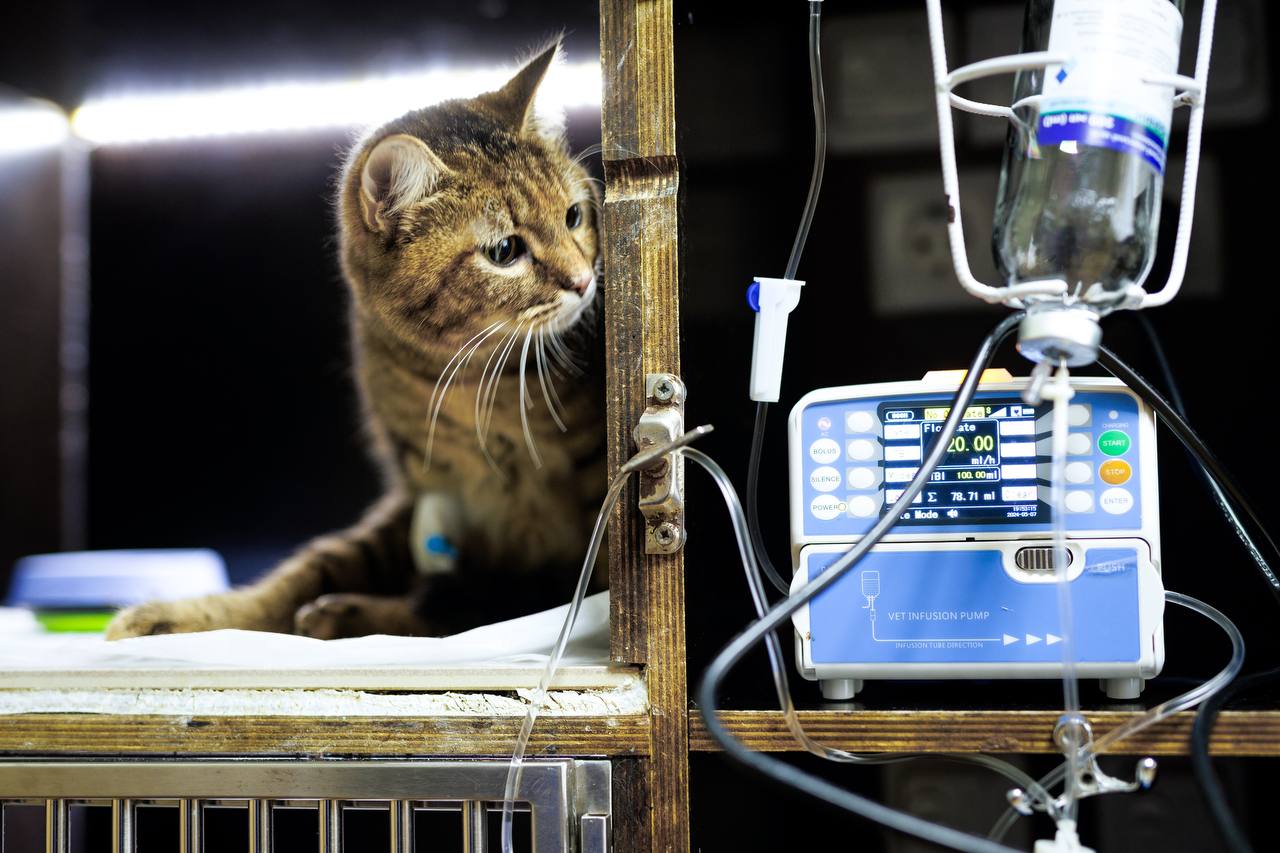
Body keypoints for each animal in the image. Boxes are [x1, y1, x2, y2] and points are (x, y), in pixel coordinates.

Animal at [105, 42, 606, 640]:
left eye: (573, 216)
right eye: (505, 251)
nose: (583, 280)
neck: (465, 381)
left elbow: (490, 608)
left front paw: (349, 614)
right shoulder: (422, 493)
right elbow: (313, 568)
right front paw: (185, 618)